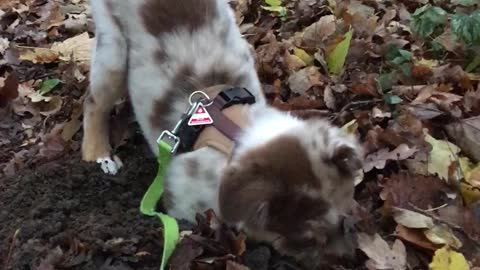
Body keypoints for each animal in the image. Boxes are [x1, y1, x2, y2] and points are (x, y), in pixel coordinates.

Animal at [82, 0, 362, 266]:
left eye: (346, 215)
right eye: (306, 239)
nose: (349, 258)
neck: (232, 133)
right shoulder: (182, 200)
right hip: (113, 49)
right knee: (93, 100)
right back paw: (98, 155)